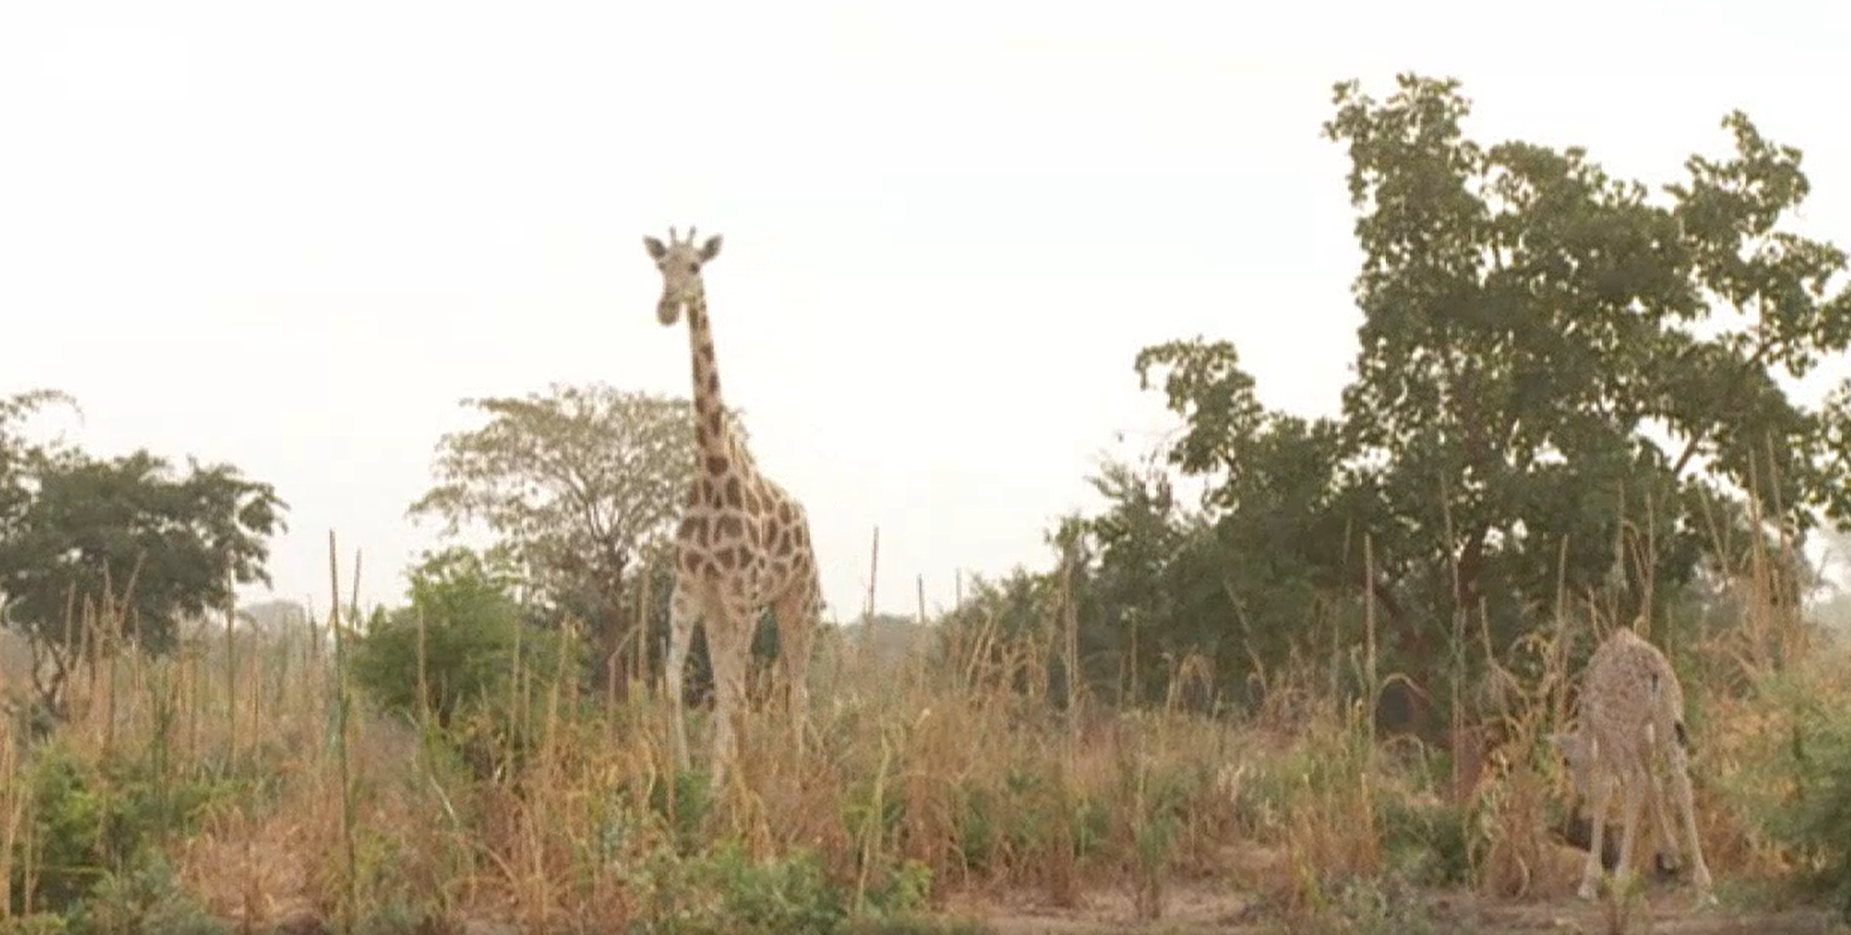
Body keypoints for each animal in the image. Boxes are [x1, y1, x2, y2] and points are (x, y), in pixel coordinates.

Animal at [647, 224, 829, 788]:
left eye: (696, 266)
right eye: (660, 266)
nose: (666, 307)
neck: (712, 470)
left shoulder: (745, 594)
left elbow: (733, 693)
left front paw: (720, 785)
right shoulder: (691, 588)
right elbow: (673, 685)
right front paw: (681, 774)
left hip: (797, 603)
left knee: (798, 689)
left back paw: (793, 773)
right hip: (722, 611)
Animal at [1540, 618, 1710, 903]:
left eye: (1570, 763)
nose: (1579, 793)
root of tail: (1655, 674)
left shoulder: (1606, 733)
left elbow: (1605, 790)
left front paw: (1590, 881)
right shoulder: (1641, 736)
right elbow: (1653, 781)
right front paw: (1670, 854)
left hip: (1623, 724)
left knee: (1637, 779)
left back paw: (1620, 879)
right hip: (1668, 720)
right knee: (1680, 782)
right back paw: (1703, 880)